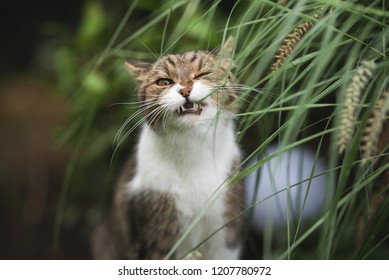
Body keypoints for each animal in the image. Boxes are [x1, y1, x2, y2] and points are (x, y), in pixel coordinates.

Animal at [89, 37, 244, 260]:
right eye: (164, 82)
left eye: (202, 74)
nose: (185, 90)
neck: (192, 151)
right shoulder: (156, 239)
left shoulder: (226, 236)